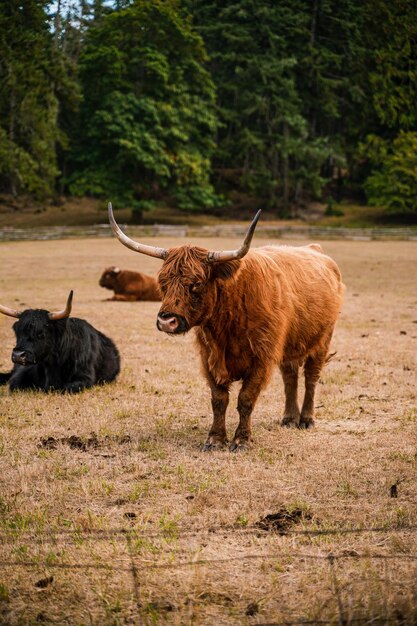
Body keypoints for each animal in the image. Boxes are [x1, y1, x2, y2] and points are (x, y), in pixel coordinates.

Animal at [108, 202, 344, 450]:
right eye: (162, 282)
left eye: (196, 283)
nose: (166, 321)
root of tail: (315, 249)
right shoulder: (209, 358)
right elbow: (219, 400)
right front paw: (215, 439)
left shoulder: (263, 357)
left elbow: (246, 399)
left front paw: (242, 440)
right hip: (290, 346)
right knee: (290, 377)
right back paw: (289, 418)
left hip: (322, 341)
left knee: (311, 378)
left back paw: (306, 419)